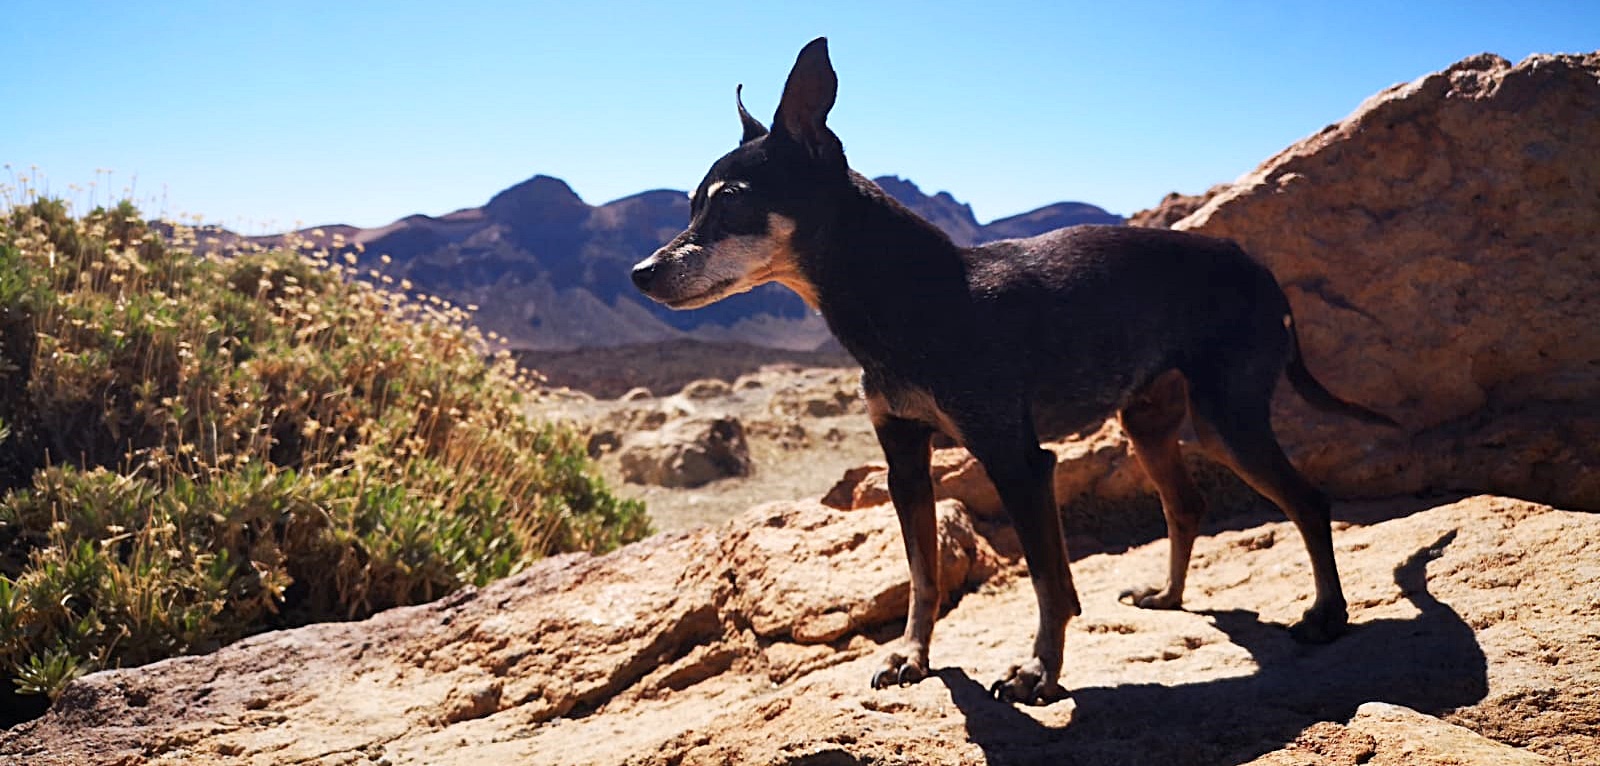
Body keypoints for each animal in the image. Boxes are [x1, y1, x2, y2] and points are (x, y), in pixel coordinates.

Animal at [630, 37, 1395, 706]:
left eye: (730, 200)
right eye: (691, 204)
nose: (641, 273)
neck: (915, 298)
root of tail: (1262, 272)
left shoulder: (1018, 460)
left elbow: (1050, 583)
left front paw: (1038, 674)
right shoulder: (904, 459)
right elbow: (924, 575)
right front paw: (911, 658)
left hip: (1225, 418)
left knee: (1308, 501)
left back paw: (1327, 616)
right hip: (1150, 420)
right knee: (1187, 504)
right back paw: (1169, 597)